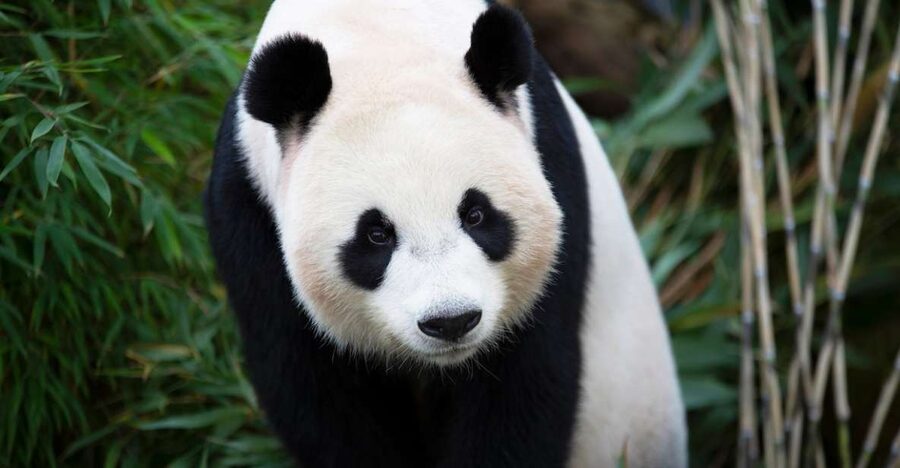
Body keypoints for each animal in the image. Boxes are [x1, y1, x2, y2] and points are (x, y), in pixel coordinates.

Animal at [204, 1, 687, 467]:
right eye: (376, 234)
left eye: (475, 214)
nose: (451, 321)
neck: (377, 35)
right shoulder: (248, 206)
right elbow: (314, 390)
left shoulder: (552, 168)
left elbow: (524, 387)